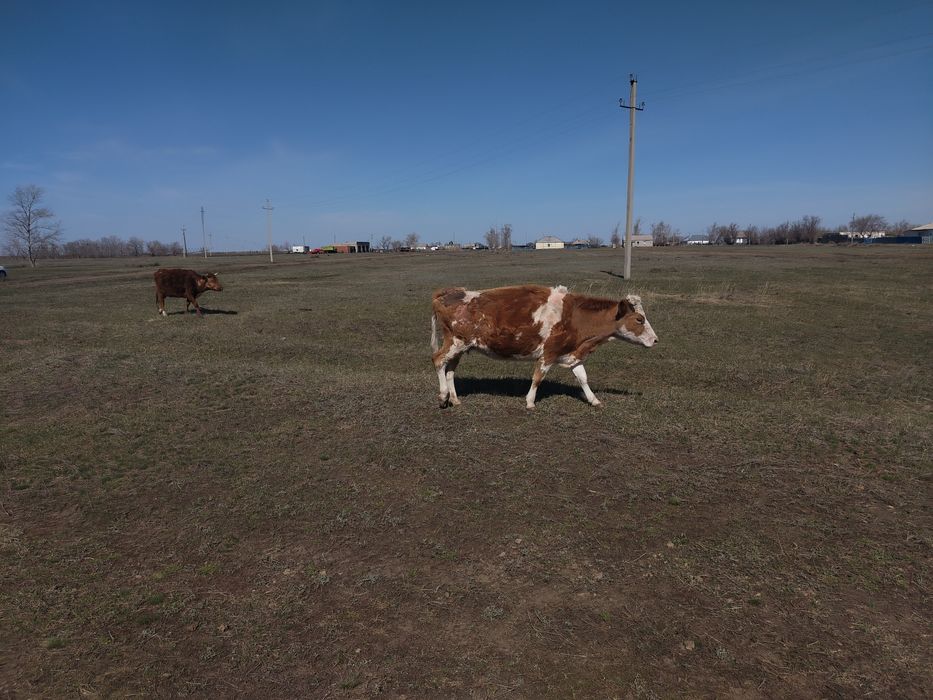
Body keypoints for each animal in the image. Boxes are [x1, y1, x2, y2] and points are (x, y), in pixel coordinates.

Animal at [431, 285, 658, 409]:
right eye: (639, 319)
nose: (656, 340)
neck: (575, 316)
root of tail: (447, 292)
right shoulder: (549, 353)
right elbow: (538, 377)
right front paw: (530, 401)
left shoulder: (572, 353)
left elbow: (583, 378)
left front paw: (594, 400)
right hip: (454, 342)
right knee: (438, 360)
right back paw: (442, 396)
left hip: (460, 348)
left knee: (450, 371)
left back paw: (455, 399)